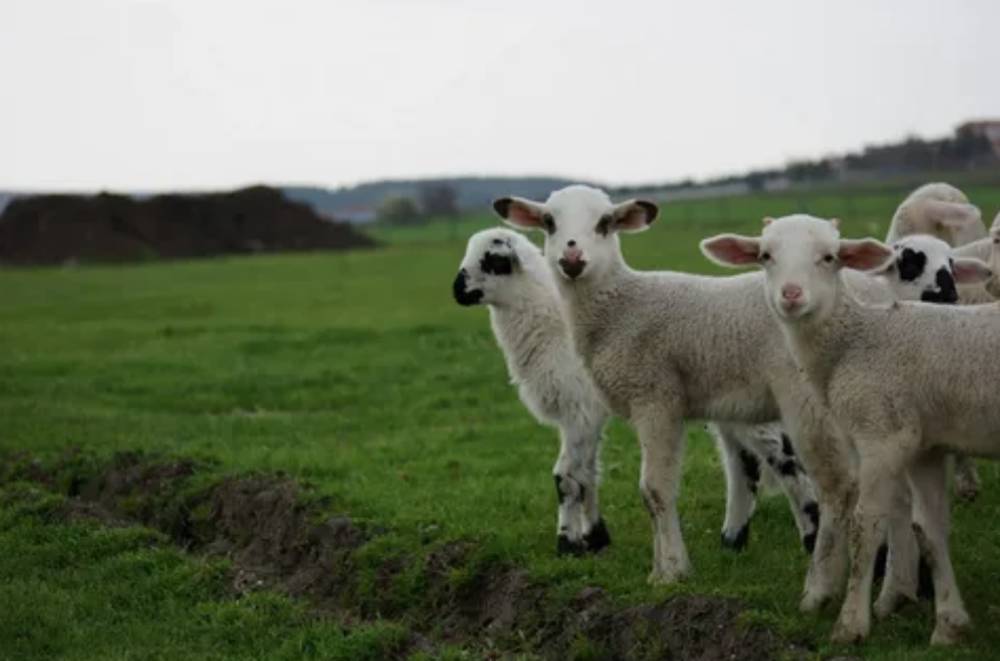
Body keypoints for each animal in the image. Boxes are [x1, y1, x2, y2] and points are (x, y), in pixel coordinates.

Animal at [454, 226, 820, 552]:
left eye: (494, 260)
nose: (457, 291)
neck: (550, 327)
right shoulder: (587, 416)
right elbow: (588, 474)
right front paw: (595, 538)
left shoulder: (580, 411)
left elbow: (566, 477)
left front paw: (567, 543)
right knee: (745, 465)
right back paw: (732, 540)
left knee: (784, 462)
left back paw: (809, 536)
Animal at [700, 215, 996, 644]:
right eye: (765, 255)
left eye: (830, 257)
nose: (791, 295)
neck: (859, 337)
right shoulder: (922, 446)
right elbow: (929, 527)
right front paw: (944, 622)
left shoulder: (880, 438)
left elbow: (865, 524)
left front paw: (852, 621)